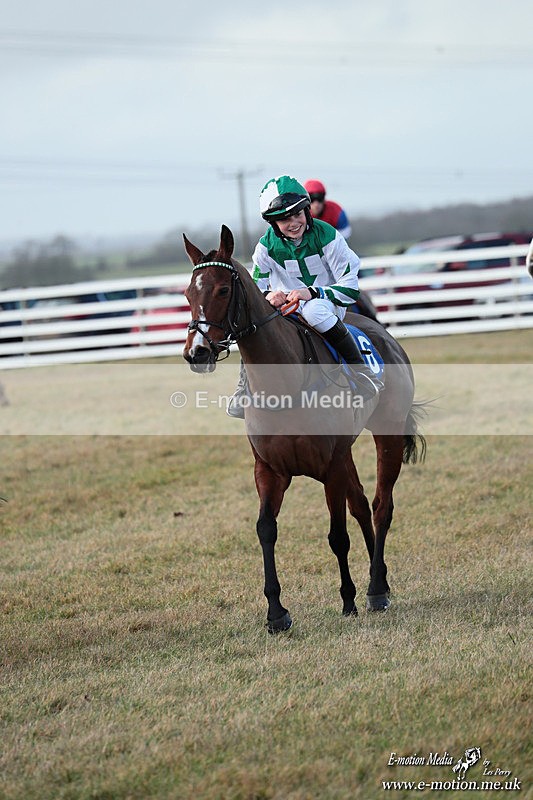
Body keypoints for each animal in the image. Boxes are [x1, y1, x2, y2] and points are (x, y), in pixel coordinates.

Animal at [183, 225, 426, 633]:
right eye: (188, 293)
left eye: (222, 290)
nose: (196, 352)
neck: (286, 385)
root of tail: (383, 333)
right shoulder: (269, 469)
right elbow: (266, 529)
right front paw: (276, 613)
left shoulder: (331, 466)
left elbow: (337, 536)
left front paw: (348, 600)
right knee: (362, 505)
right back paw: (380, 579)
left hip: (387, 433)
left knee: (381, 506)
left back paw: (376, 590)